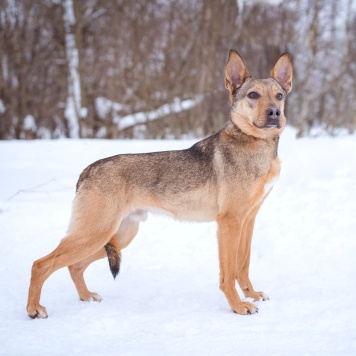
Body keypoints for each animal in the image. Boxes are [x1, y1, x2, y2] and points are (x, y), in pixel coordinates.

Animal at [27, 49, 292, 318]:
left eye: (279, 95)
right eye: (253, 95)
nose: (274, 113)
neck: (255, 143)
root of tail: (88, 170)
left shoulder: (247, 220)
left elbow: (243, 266)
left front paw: (252, 295)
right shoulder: (229, 223)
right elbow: (228, 274)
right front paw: (238, 306)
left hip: (117, 237)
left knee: (74, 266)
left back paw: (86, 296)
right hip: (95, 233)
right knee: (41, 264)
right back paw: (34, 309)